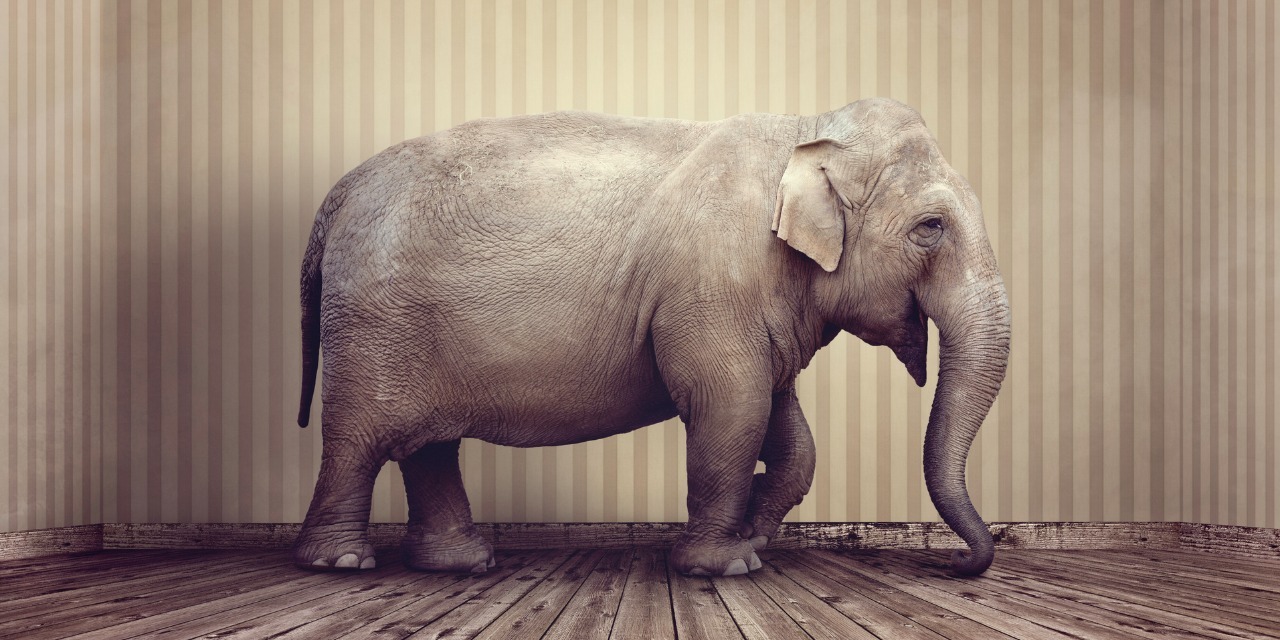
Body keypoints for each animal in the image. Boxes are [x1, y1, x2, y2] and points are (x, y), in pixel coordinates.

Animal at [292, 98, 1011, 578]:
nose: (958, 564)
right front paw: (725, 564)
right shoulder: (712, 286)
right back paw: (340, 562)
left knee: (429, 445)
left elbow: (784, 421)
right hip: (373, 325)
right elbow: (732, 405)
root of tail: (334, 198)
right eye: (930, 227)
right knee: (358, 439)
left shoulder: (758, 298)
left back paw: (460, 562)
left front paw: (752, 531)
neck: (806, 131)